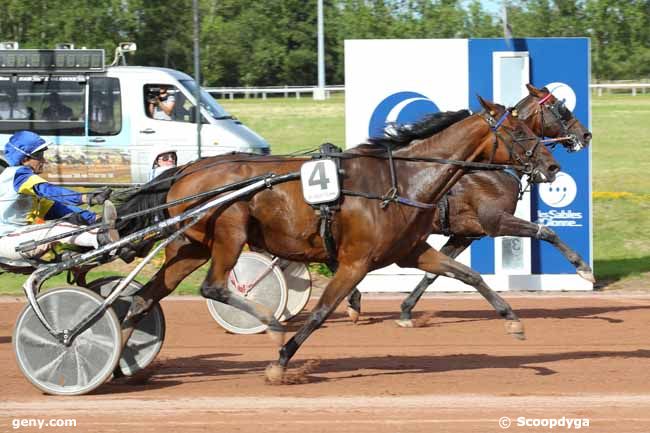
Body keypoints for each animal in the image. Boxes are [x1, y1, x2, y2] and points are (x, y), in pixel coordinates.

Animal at [119, 97, 560, 382]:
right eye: (518, 130)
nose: (553, 165)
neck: (400, 181)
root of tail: (185, 169)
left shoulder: (413, 251)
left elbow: (469, 276)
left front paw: (513, 322)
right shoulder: (355, 262)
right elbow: (320, 311)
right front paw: (281, 362)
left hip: (189, 247)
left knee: (142, 299)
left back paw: (121, 361)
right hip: (230, 229)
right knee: (213, 286)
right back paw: (269, 323)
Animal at [344, 84, 592, 326]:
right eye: (559, 107)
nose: (586, 134)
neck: (488, 169)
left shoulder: (465, 234)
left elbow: (434, 273)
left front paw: (406, 309)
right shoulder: (495, 221)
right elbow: (546, 232)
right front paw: (583, 268)